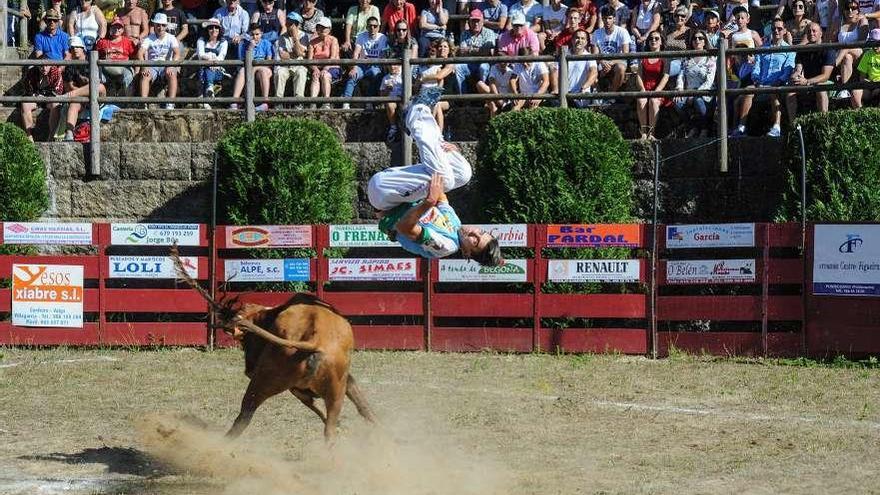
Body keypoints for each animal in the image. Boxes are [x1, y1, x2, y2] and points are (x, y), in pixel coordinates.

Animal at [170, 246, 376, 444]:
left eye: (246, 339)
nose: (249, 368)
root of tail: (313, 341)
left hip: (263, 381)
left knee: (245, 415)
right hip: (329, 390)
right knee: (331, 425)